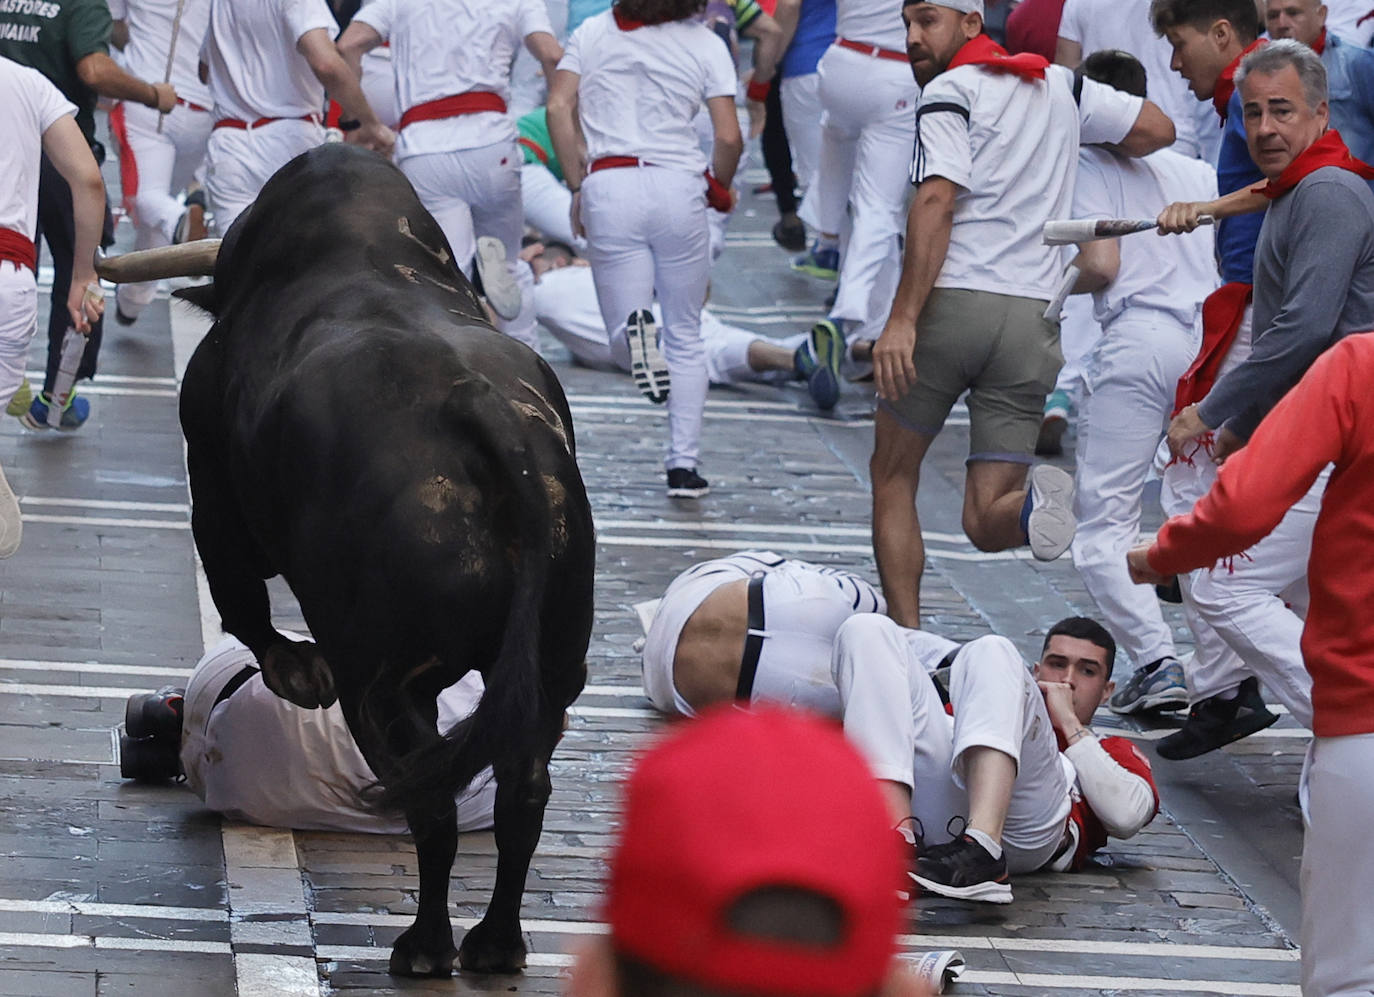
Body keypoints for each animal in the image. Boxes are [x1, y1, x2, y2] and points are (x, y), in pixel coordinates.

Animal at [171, 148, 590, 977]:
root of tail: (486, 416)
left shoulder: (212, 474)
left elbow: (239, 593)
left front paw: (293, 669)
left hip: (383, 681)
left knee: (428, 800)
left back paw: (426, 945)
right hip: (552, 666)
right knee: (522, 792)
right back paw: (496, 942)